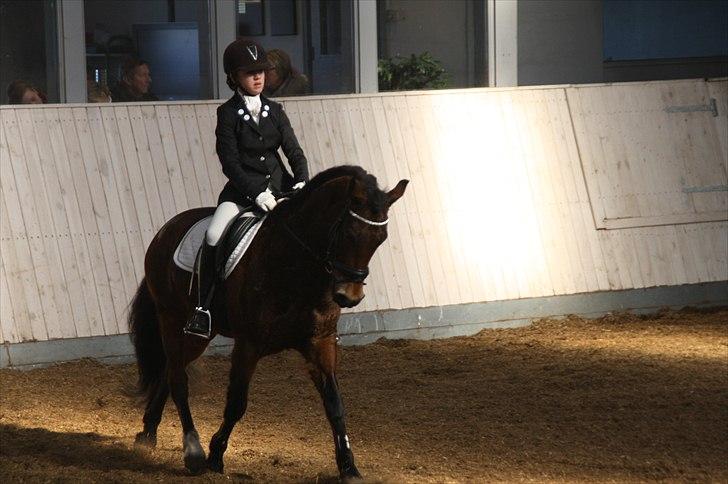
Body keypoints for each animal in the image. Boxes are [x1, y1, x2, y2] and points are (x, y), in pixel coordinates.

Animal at [128, 165, 408, 478]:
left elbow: (335, 404)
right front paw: (215, 455)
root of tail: (166, 230)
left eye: (381, 238)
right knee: (178, 379)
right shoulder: (249, 344)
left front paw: (349, 466)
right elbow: (236, 403)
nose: (350, 296)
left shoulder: (320, 342)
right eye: (348, 232)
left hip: (199, 335)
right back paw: (193, 450)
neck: (298, 267)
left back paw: (148, 432)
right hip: (171, 319)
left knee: (169, 370)